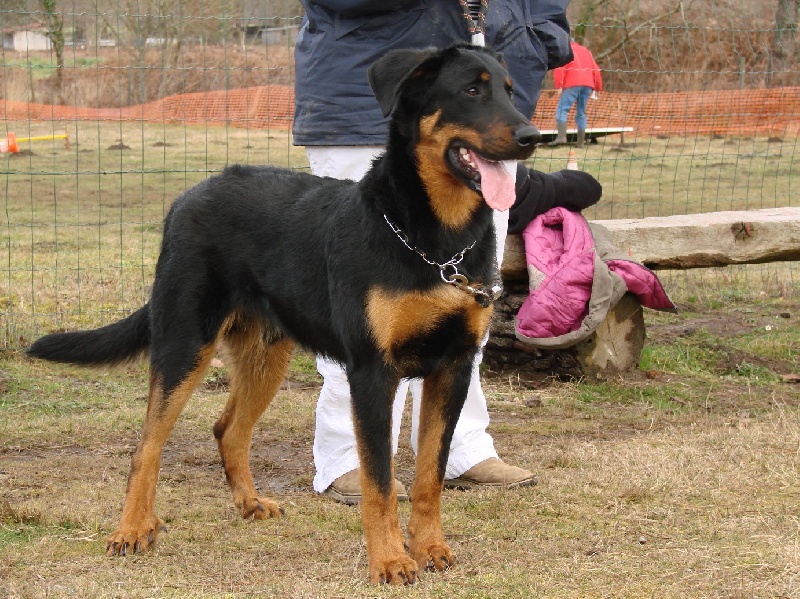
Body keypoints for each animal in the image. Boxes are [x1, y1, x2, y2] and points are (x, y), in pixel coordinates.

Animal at [31, 45, 540, 584]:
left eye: (511, 91)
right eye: (471, 89)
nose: (534, 137)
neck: (436, 242)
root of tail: (187, 198)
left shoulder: (454, 369)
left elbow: (429, 478)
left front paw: (430, 548)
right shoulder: (372, 374)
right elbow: (380, 483)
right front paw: (389, 559)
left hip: (264, 358)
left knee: (228, 430)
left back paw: (249, 503)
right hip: (185, 345)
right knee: (146, 445)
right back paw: (132, 528)